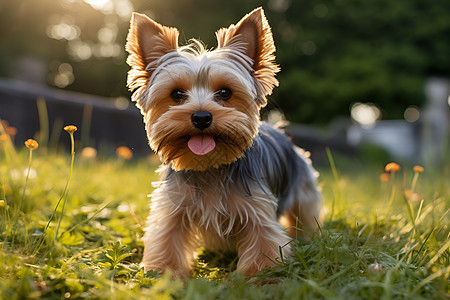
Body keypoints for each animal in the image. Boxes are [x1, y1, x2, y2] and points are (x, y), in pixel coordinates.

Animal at [125, 7, 322, 278]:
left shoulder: (257, 210)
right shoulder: (174, 207)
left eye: (225, 92)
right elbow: (167, 238)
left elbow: (263, 245)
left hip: (303, 186)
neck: (209, 166)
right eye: (177, 94)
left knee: (304, 215)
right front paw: (163, 273)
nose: (201, 116)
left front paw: (258, 278)